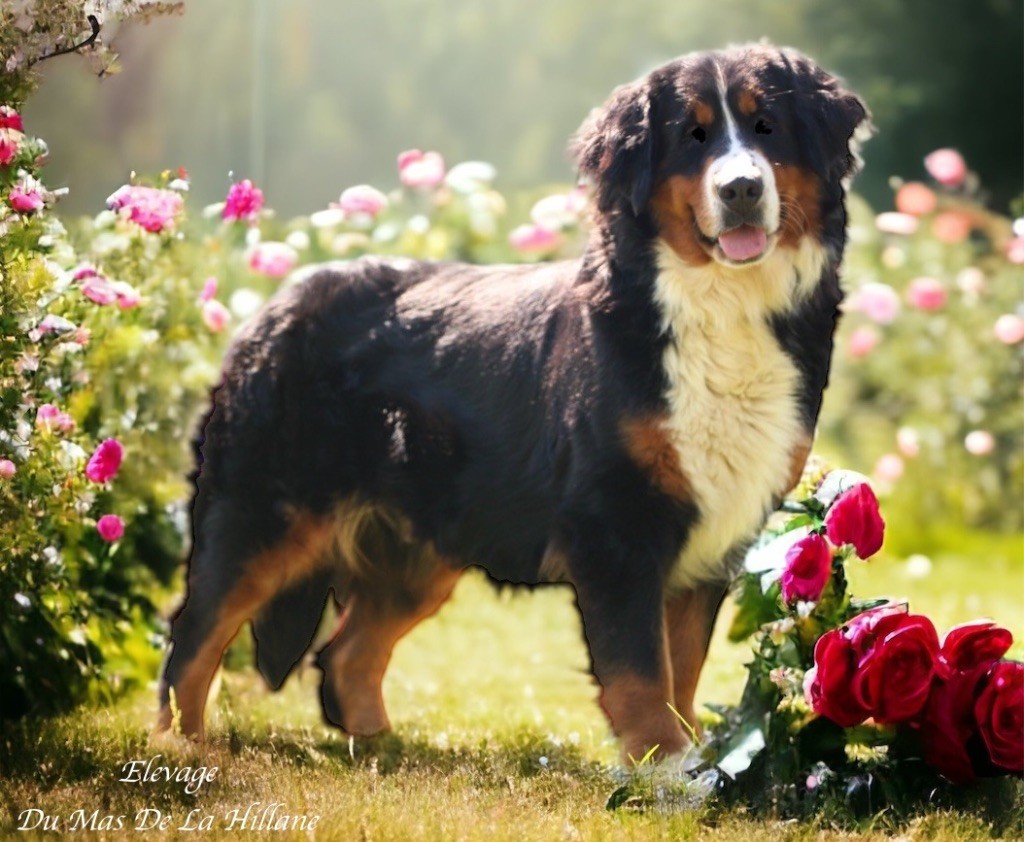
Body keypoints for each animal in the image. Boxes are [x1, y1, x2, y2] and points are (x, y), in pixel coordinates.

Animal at [155, 42, 868, 766]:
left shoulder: (711, 528)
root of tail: (271, 306)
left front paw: (693, 758)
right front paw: (667, 764)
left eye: (766, 127)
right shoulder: (617, 523)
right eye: (692, 136)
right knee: (195, 634)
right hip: (262, 514)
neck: (721, 307)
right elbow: (642, 670)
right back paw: (179, 748)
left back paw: (384, 749)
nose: (741, 189)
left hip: (417, 548)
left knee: (347, 655)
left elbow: (682, 668)